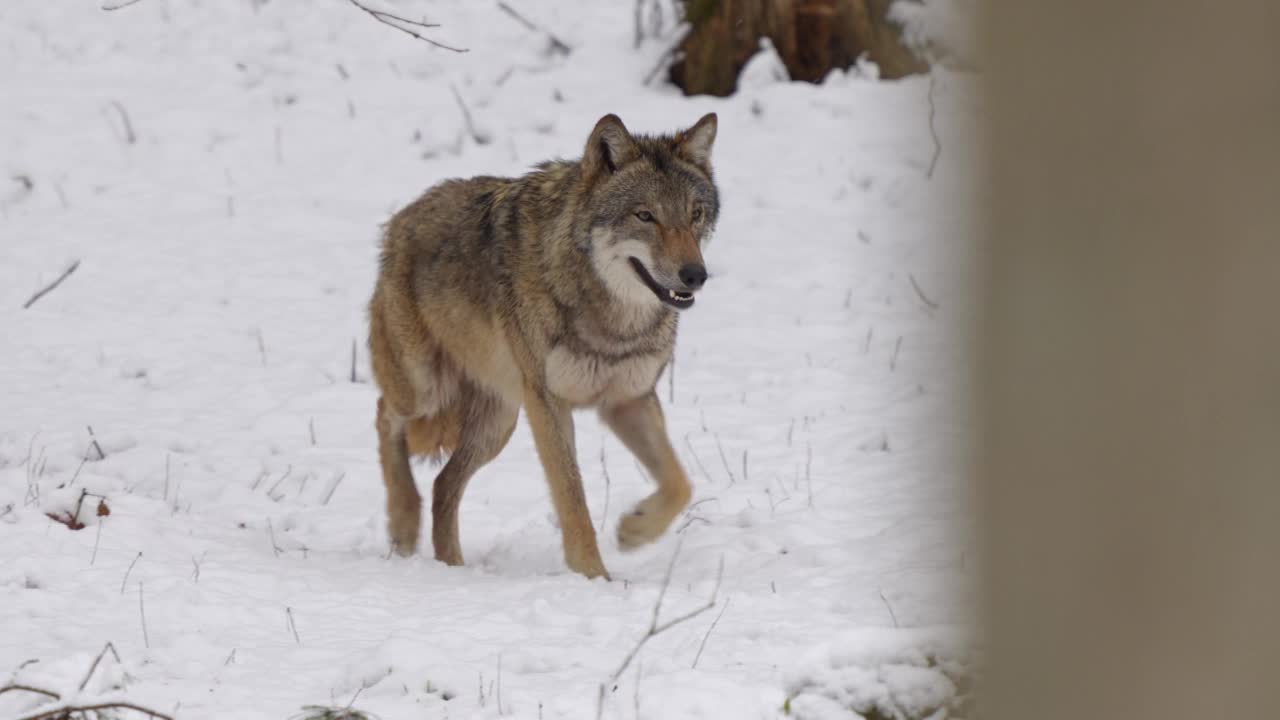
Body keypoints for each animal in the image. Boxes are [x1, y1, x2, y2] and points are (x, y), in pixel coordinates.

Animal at [368, 114, 721, 579]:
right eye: (645, 216)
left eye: (695, 215)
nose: (695, 275)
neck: (613, 321)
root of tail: (400, 219)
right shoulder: (549, 404)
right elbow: (573, 501)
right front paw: (594, 577)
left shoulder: (629, 401)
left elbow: (680, 483)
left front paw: (634, 530)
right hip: (426, 390)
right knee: (385, 416)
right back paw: (403, 522)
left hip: (499, 422)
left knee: (444, 483)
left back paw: (453, 567)